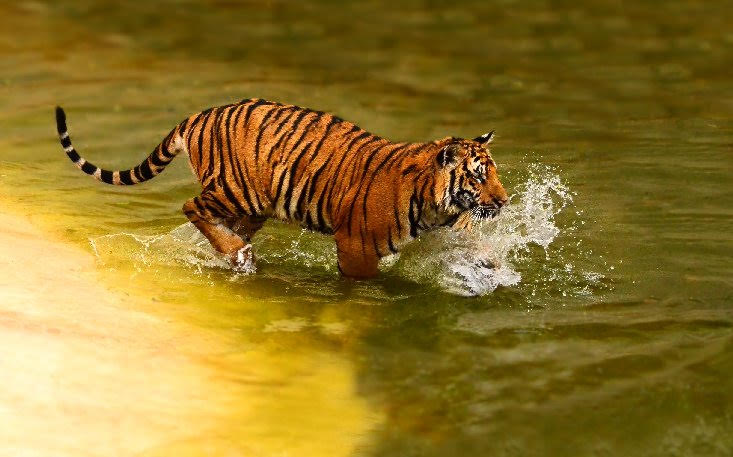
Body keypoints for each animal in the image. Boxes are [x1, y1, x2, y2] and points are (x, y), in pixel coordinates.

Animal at [55, 98, 508, 278]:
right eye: (478, 176)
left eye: (494, 173)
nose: (504, 201)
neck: (434, 203)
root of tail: (201, 114)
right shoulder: (356, 245)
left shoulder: (454, 228)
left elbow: (476, 246)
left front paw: (492, 268)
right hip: (236, 191)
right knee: (190, 205)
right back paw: (239, 255)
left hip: (249, 208)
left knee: (215, 225)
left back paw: (235, 255)